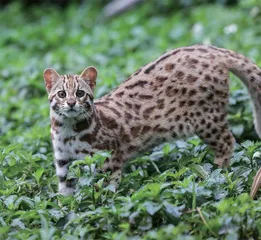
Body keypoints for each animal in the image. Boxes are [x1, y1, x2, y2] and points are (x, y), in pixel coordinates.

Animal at [43, 44, 260, 195]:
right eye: (61, 94)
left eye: (80, 93)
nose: (71, 103)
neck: (67, 130)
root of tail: (210, 49)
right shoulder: (63, 162)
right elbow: (65, 193)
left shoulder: (107, 159)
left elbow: (105, 189)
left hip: (208, 119)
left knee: (227, 142)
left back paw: (217, 174)